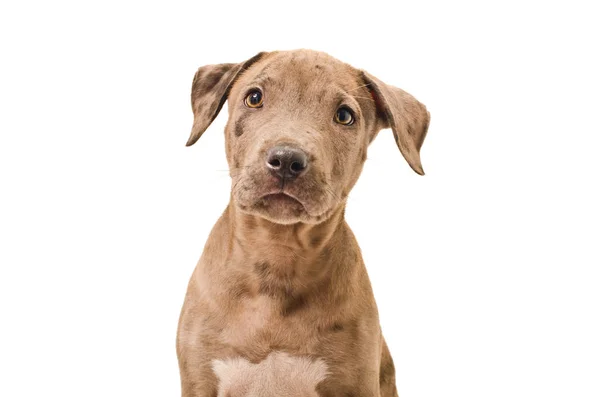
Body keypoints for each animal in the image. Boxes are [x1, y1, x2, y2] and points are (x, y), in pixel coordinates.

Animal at [176, 49, 428, 396]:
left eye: (344, 116)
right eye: (254, 98)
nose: (286, 159)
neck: (278, 252)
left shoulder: (357, 383)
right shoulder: (200, 382)